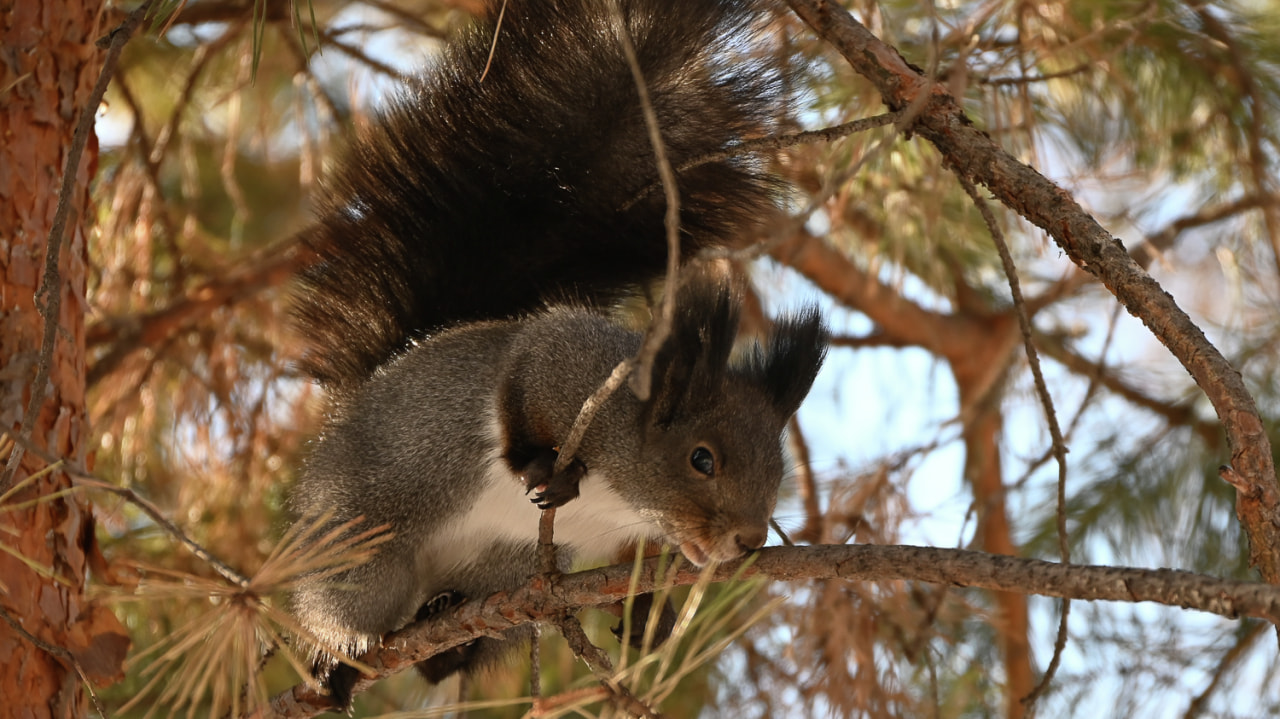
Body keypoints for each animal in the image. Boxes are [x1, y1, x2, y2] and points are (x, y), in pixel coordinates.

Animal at [288, 0, 829, 706]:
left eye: (778, 467)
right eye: (701, 459)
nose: (749, 539)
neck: (627, 491)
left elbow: (636, 565)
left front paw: (645, 616)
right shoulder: (567, 362)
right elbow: (522, 385)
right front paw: (540, 467)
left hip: (503, 570)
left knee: (456, 644)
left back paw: (446, 630)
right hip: (360, 533)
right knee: (339, 603)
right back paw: (339, 660)